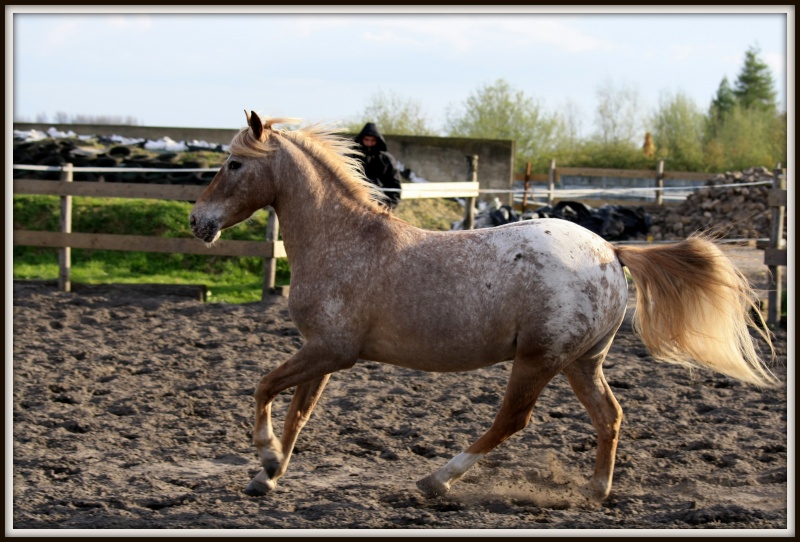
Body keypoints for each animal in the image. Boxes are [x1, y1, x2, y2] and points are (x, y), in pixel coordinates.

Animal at [188, 111, 776, 506]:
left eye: (233, 163)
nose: (198, 221)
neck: (345, 242)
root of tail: (610, 250)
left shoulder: (331, 351)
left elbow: (264, 389)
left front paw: (266, 459)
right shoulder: (322, 352)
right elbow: (298, 411)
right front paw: (267, 475)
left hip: (538, 360)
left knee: (512, 419)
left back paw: (436, 480)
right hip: (580, 362)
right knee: (609, 415)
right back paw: (594, 490)